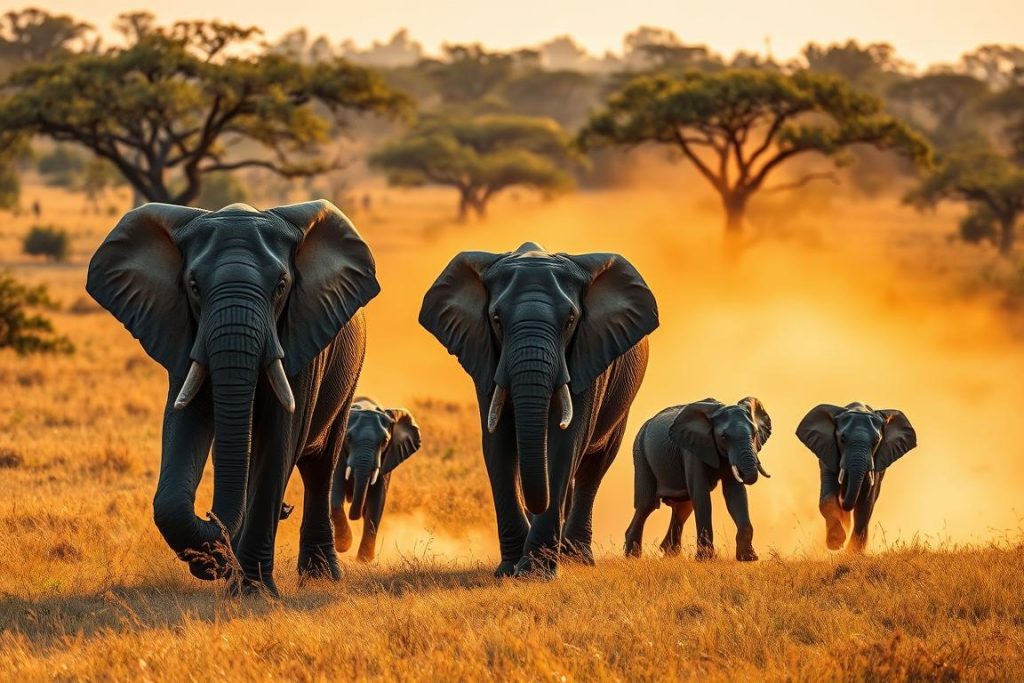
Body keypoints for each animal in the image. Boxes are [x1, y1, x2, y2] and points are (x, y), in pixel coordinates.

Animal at [86, 200, 379, 595]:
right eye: (194, 286)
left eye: (281, 287)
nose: (211, 519)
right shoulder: (185, 331)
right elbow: (185, 425)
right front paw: (223, 568)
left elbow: (278, 443)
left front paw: (253, 593)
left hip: (350, 373)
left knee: (320, 466)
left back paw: (320, 577)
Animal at [330, 398, 422, 562]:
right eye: (348, 438)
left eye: (385, 441)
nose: (354, 516)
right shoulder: (338, 452)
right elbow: (335, 492)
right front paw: (343, 546)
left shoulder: (386, 458)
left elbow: (376, 501)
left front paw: (364, 561)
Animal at [419, 242, 659, 578]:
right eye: (496, 319)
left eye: (570, 320)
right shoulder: (487, 355)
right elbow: (497, 444)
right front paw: (509, 569)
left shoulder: (588, 354)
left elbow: (565, 444)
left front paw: (535, 572)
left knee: (593, 468)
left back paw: (576, 558)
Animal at [625, 398, 773, 561]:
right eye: (724, 437)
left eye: (755, 434)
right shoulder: (691, 449)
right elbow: (701, 496)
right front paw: (706, 559)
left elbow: (735, 495)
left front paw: (748, 558)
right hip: (641, 454)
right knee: (646, 505)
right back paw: (632, 557)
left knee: (683, 508)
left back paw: (670, 555)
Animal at [796, 402, 917, 553]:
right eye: (842, 438)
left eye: (876, 441)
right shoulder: (827, 454)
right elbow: (827, 498)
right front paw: (836, 543)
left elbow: (865, 504)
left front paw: (852, 552)